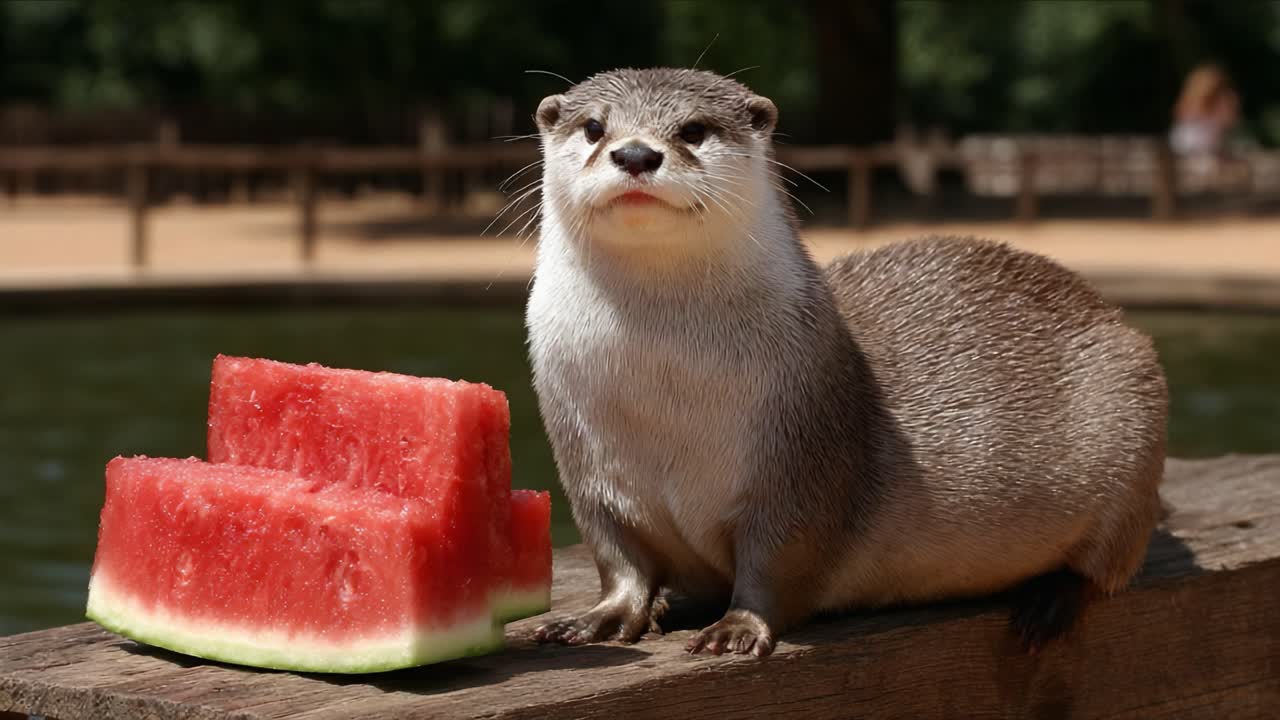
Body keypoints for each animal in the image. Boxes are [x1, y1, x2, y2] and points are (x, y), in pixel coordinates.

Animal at [525, 67, 1168, 657]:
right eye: (594, 128)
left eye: (694, 129)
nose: (635, 153)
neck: (661, 396)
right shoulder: (588, 469)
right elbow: (620, 558)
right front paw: (600, 618)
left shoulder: (802, 458)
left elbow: (777, 560)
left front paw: (737, 627)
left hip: (1133, 412)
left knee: (1109, 563)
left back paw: (1048, 600)